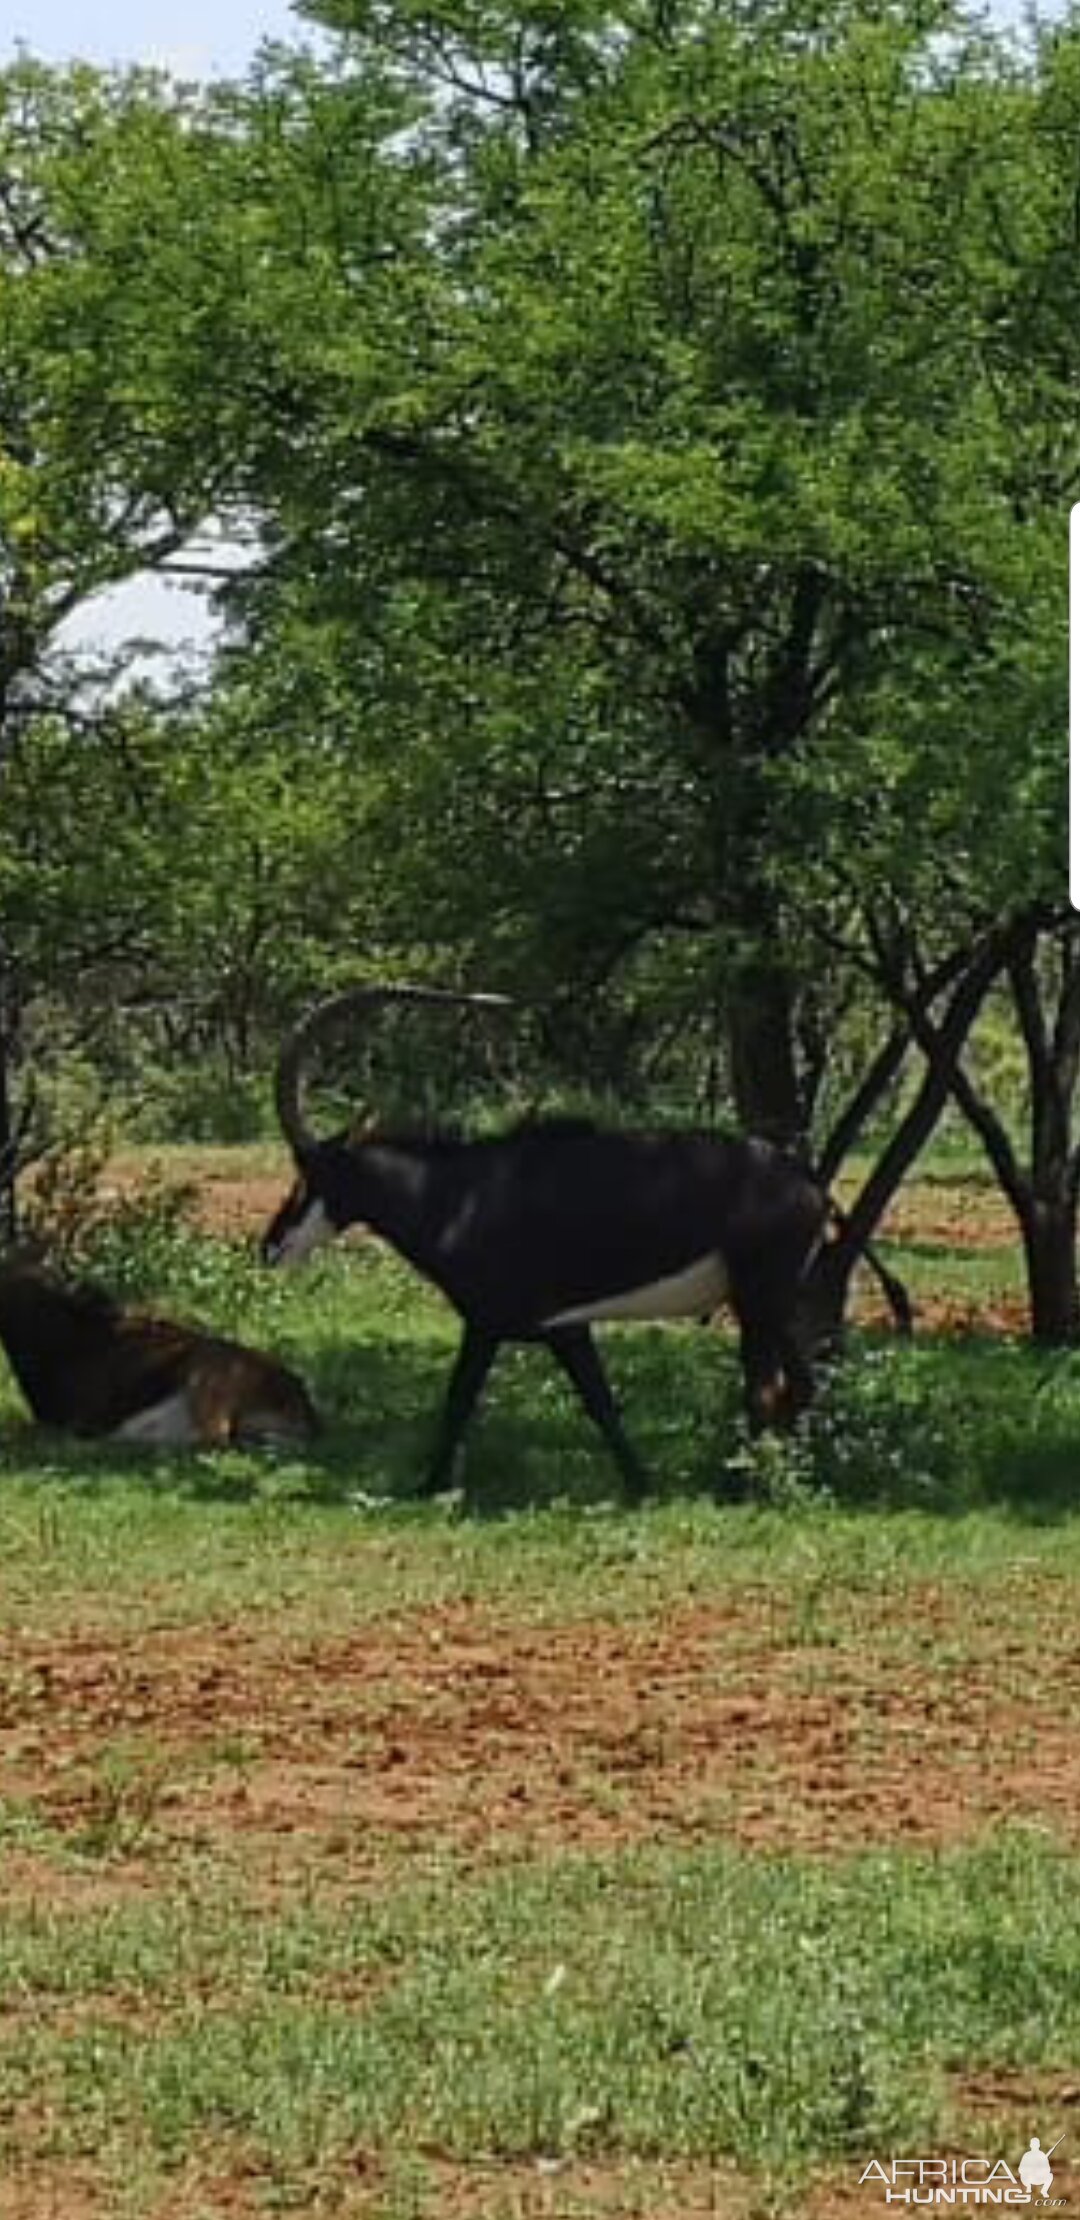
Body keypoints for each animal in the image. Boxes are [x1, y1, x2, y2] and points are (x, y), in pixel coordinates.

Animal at [263, 981, 835, 1500]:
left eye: (309, 1174)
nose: (271, 1246)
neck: (454, 1194)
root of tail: (808, 1186)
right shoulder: (565, 1328)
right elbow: (600, 1403)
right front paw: (641, 1485)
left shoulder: (487, 1324)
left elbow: (460, 1400)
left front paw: (428, 1487)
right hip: (763, 1302)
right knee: (788, 1386)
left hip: (761, 1297)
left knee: (770, 1389)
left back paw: (743, 1488)